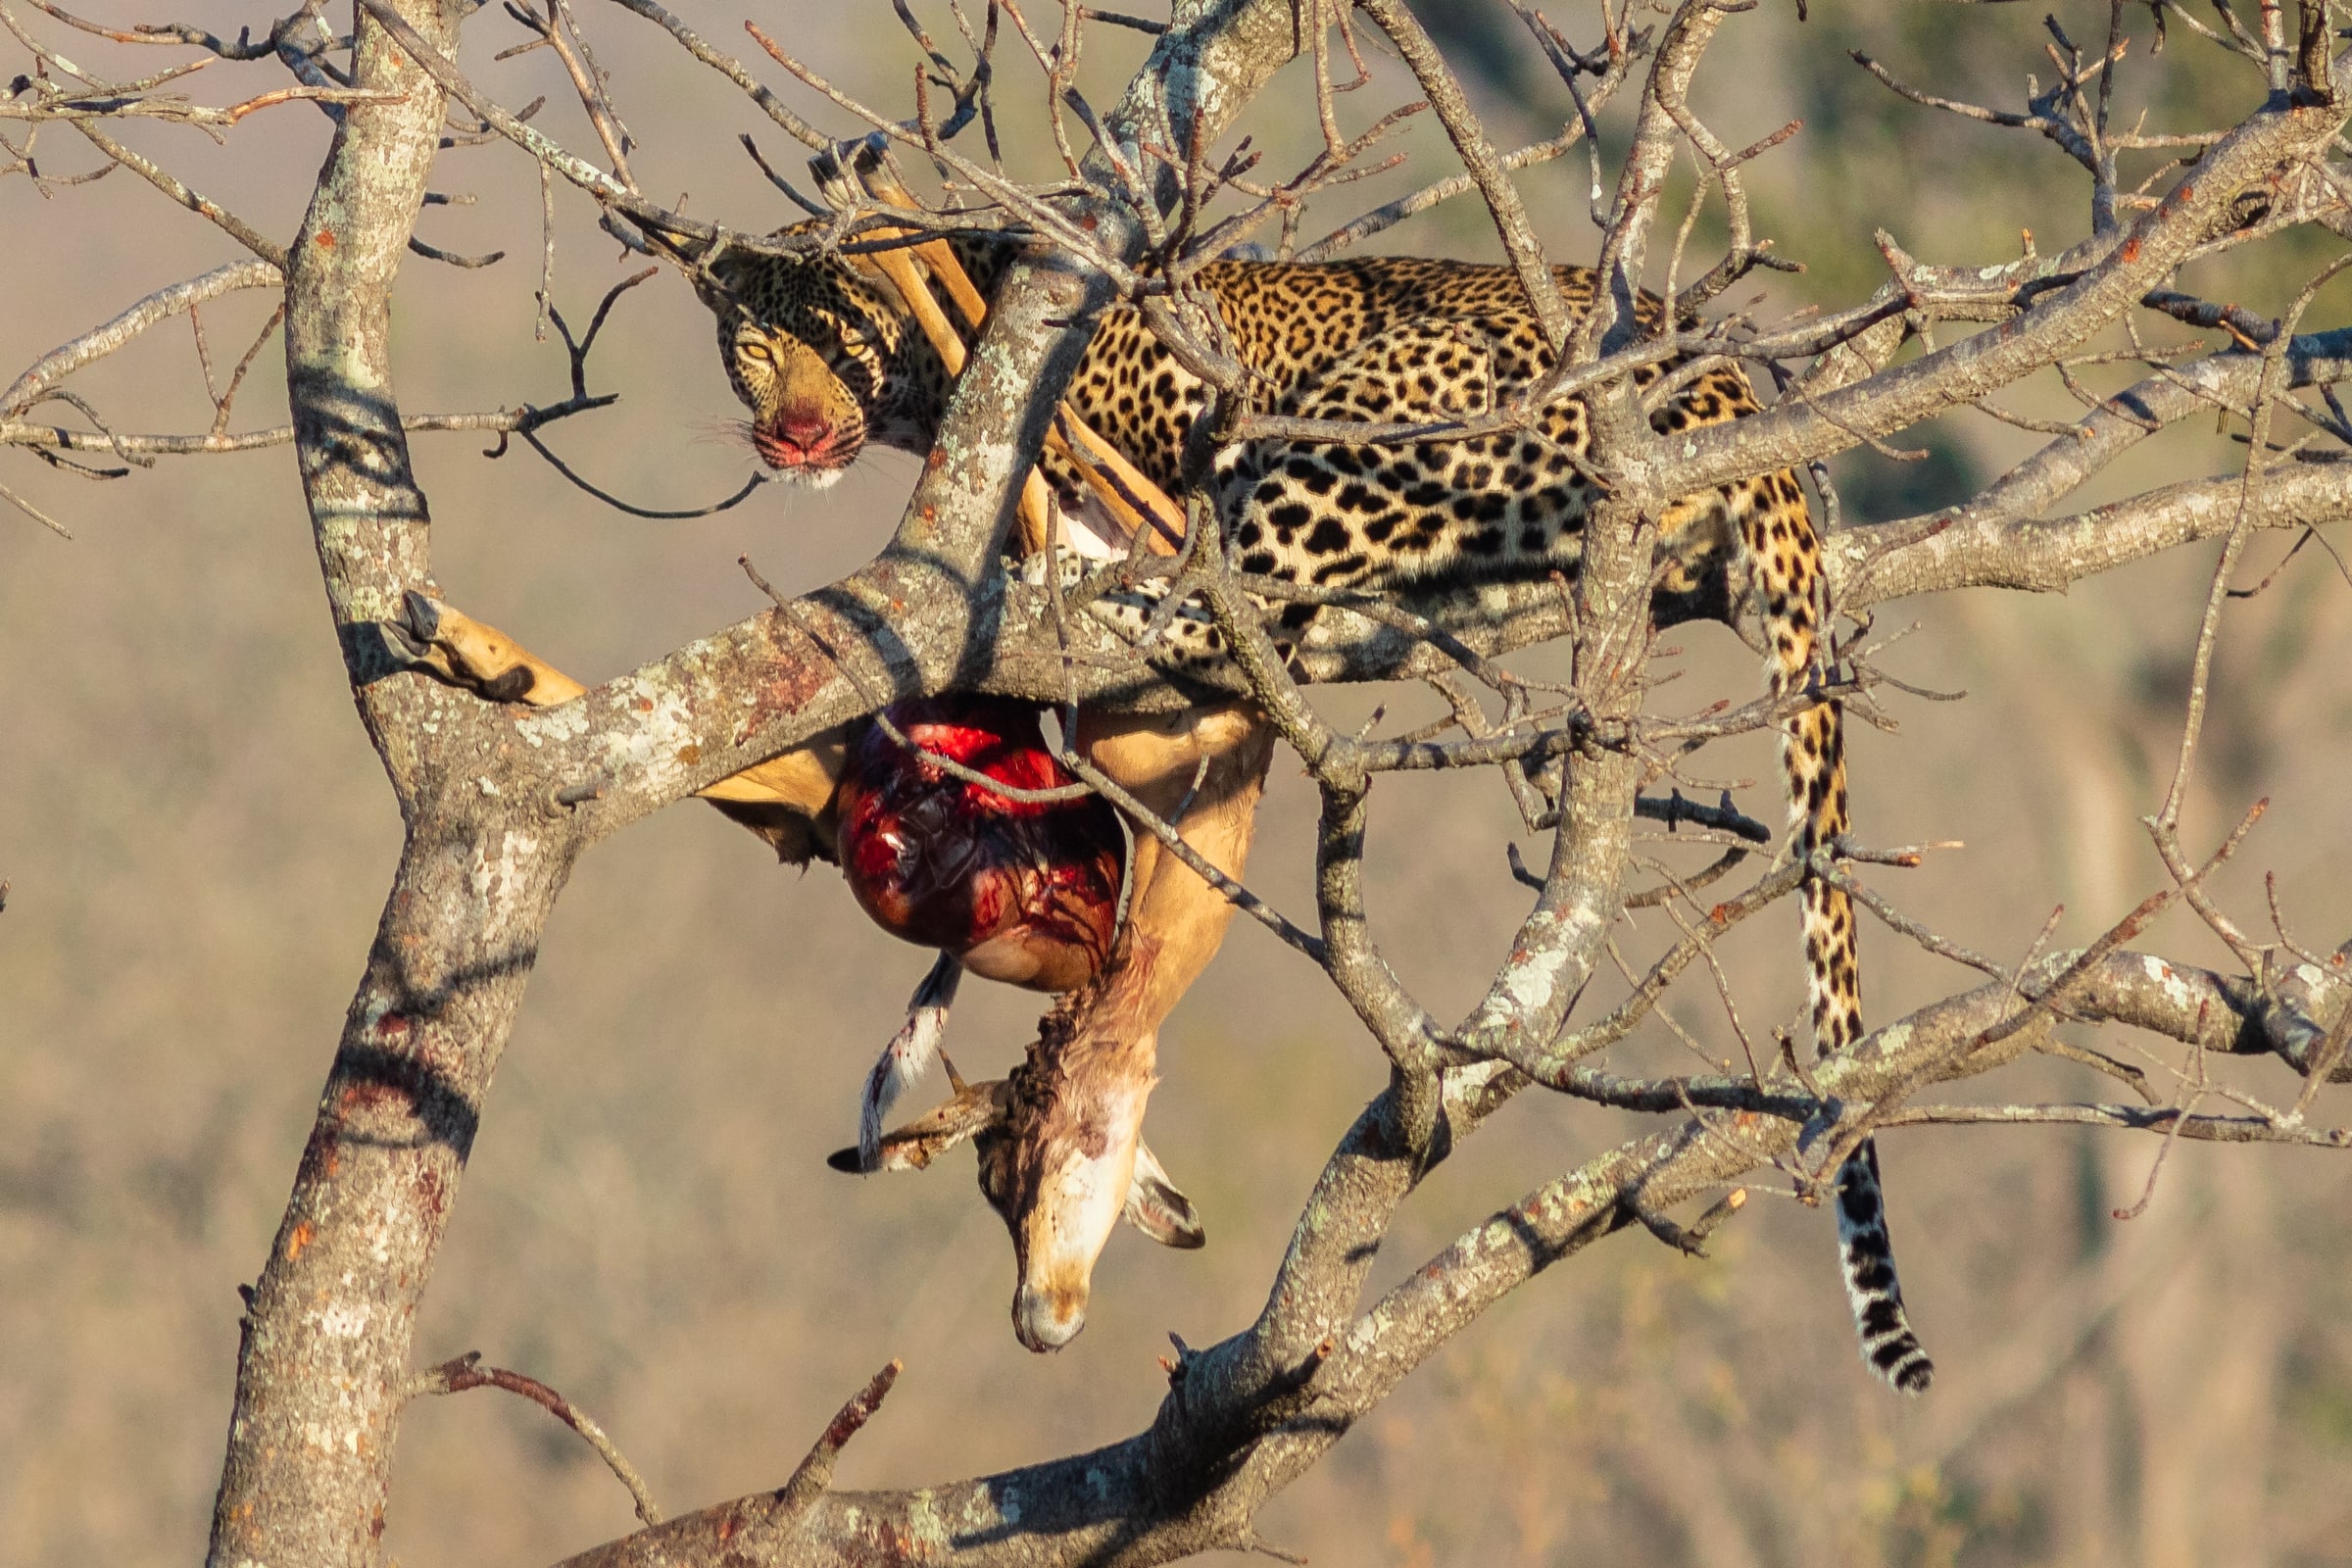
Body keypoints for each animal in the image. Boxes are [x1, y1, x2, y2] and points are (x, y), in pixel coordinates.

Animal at [684, 225, 1934, 1394]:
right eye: (754, 351)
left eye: (834, 339)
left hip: (1362, 428)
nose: (791, 436)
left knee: (1233, 596)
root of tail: (1729, 392)